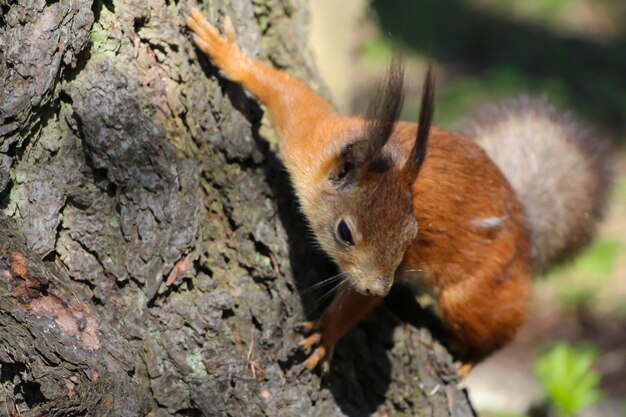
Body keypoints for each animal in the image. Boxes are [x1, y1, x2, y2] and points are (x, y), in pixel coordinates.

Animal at [185, 9, 608, 374]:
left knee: (500, 327)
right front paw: (227, 53)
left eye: (412, 235)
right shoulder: (310, 140)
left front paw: (327, 333)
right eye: (344, 232)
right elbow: (286, 93)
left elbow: (356, 303)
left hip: (474, 292)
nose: (379, 286)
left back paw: (471, 358)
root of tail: (525, 228)